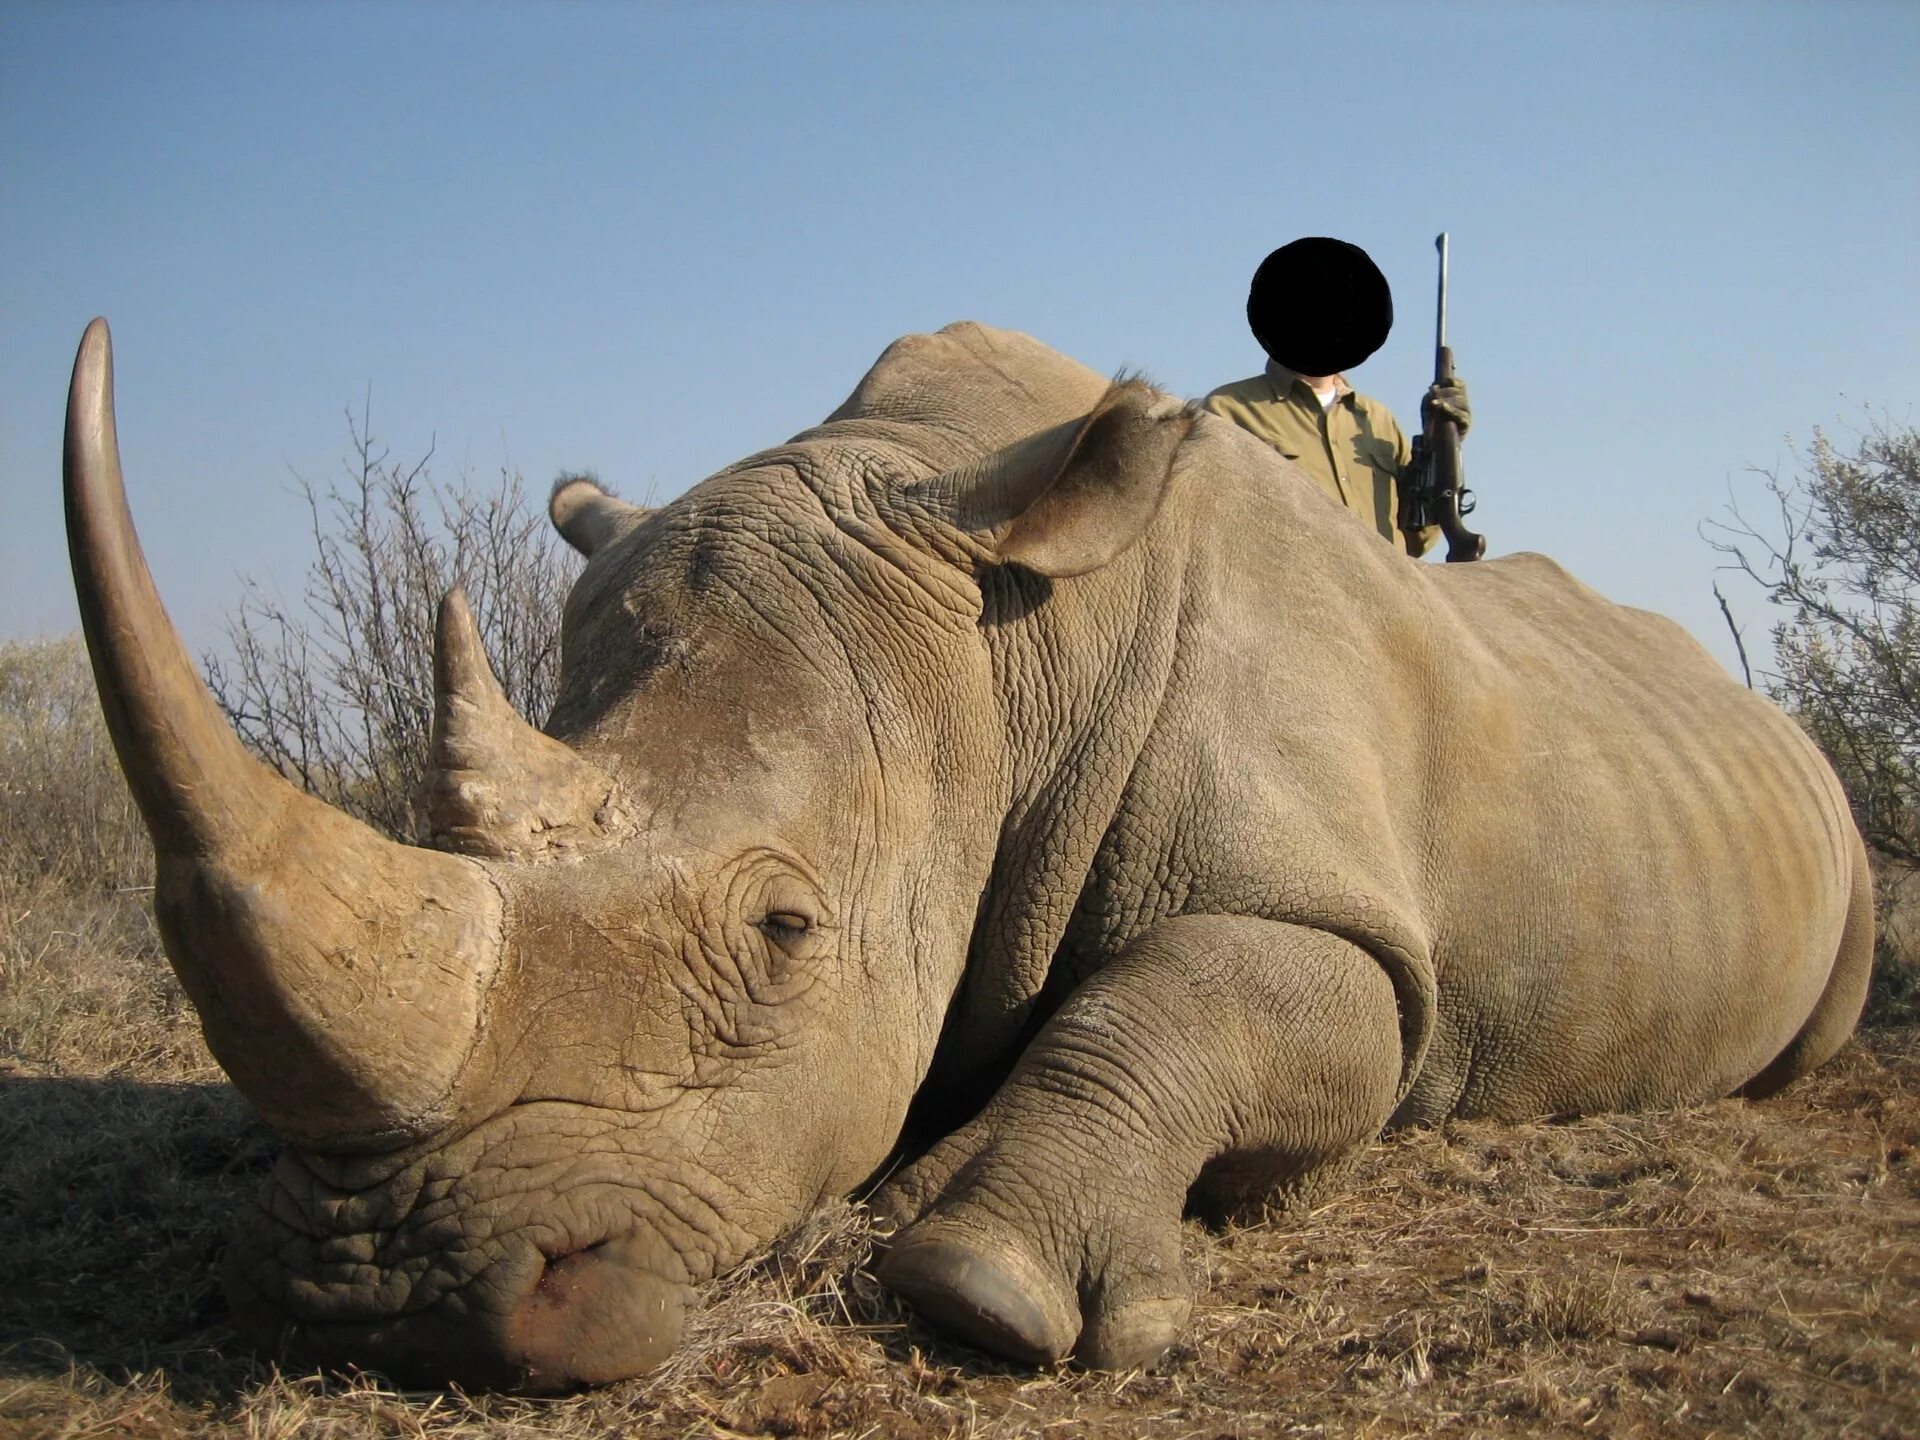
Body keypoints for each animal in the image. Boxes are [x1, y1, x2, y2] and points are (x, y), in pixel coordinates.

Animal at [62, 317, 1871, 1390]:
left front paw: (977, 1276)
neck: (1004, 649)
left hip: (1832, 840)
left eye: (785, 931)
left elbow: (1199, 1005)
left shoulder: (1356, 931)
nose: (384, 1292)